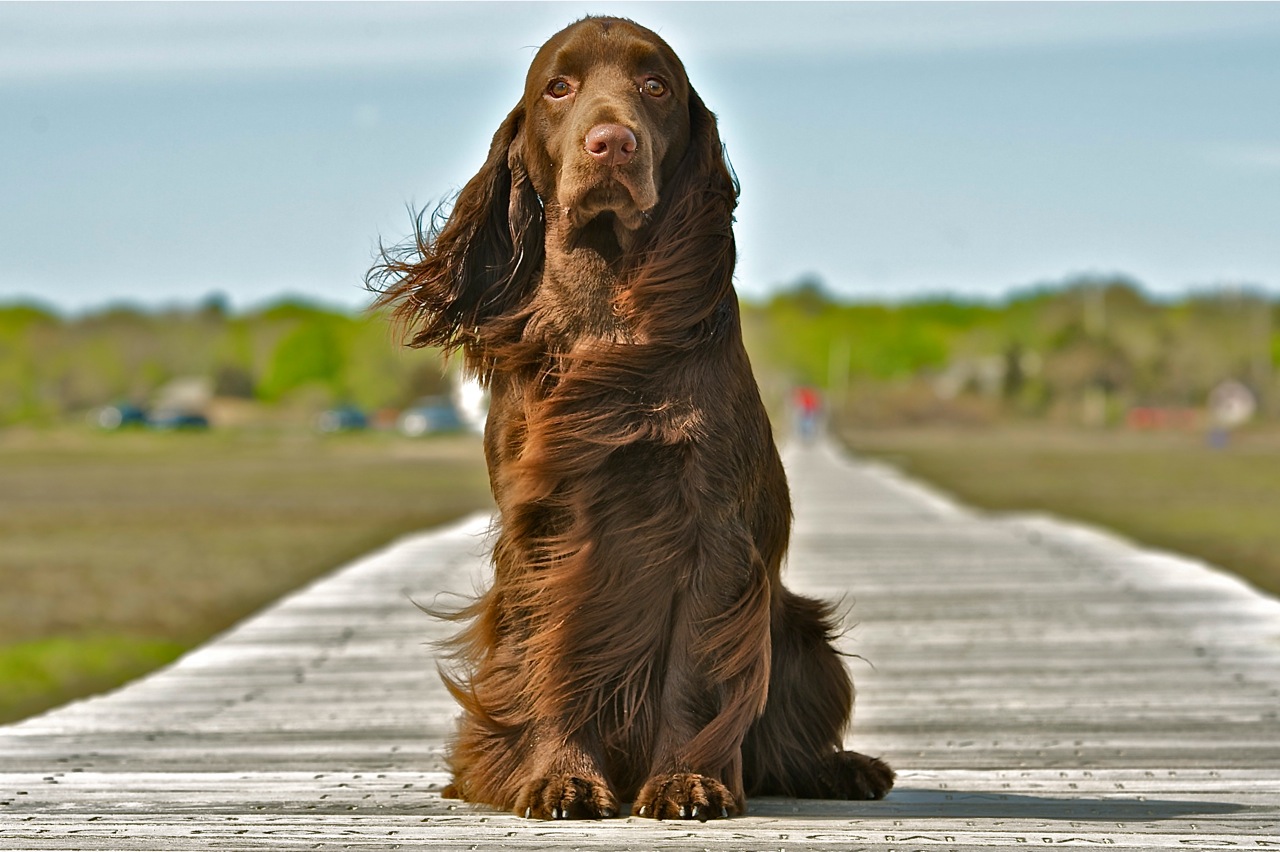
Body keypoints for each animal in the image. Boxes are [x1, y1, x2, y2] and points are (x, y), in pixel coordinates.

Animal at [368, 16, 890, 818]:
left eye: (655, 86)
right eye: (559, 86)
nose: (612, 142)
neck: (607, 309)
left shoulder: (711, 530)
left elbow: (692, 674)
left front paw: (685, 780)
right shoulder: (547, 532)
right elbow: (554, 658)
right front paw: (559, 778)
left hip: (804, 637)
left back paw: (843, 769)